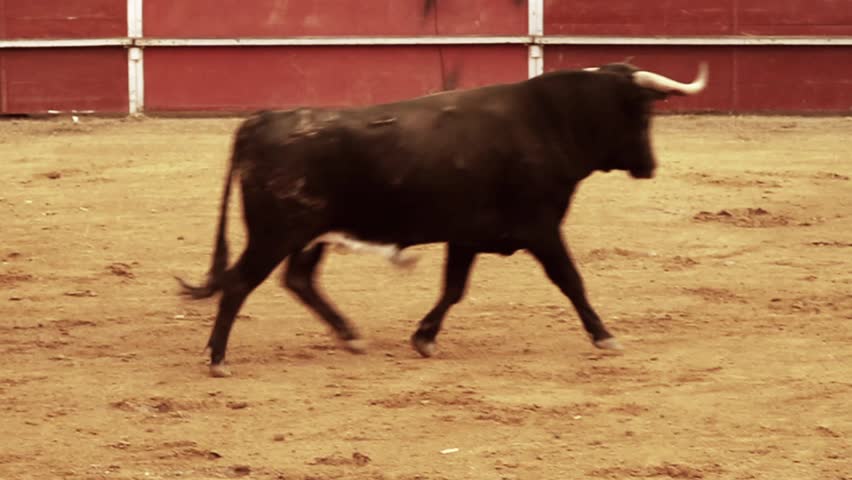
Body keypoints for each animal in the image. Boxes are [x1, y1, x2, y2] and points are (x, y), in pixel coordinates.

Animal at [177, 61, 709, 377]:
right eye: (643, 116)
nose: (649, 166)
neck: (549, 121)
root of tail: (259, 121)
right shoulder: (541, 228)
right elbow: (570, 280)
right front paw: (604, 336)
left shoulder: (467, 236)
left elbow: (453, 288)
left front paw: (424, 338)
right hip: (275, 232)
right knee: (240, 282)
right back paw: (218, 359)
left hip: (309, 235)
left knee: (299, 279)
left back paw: (351, 337)